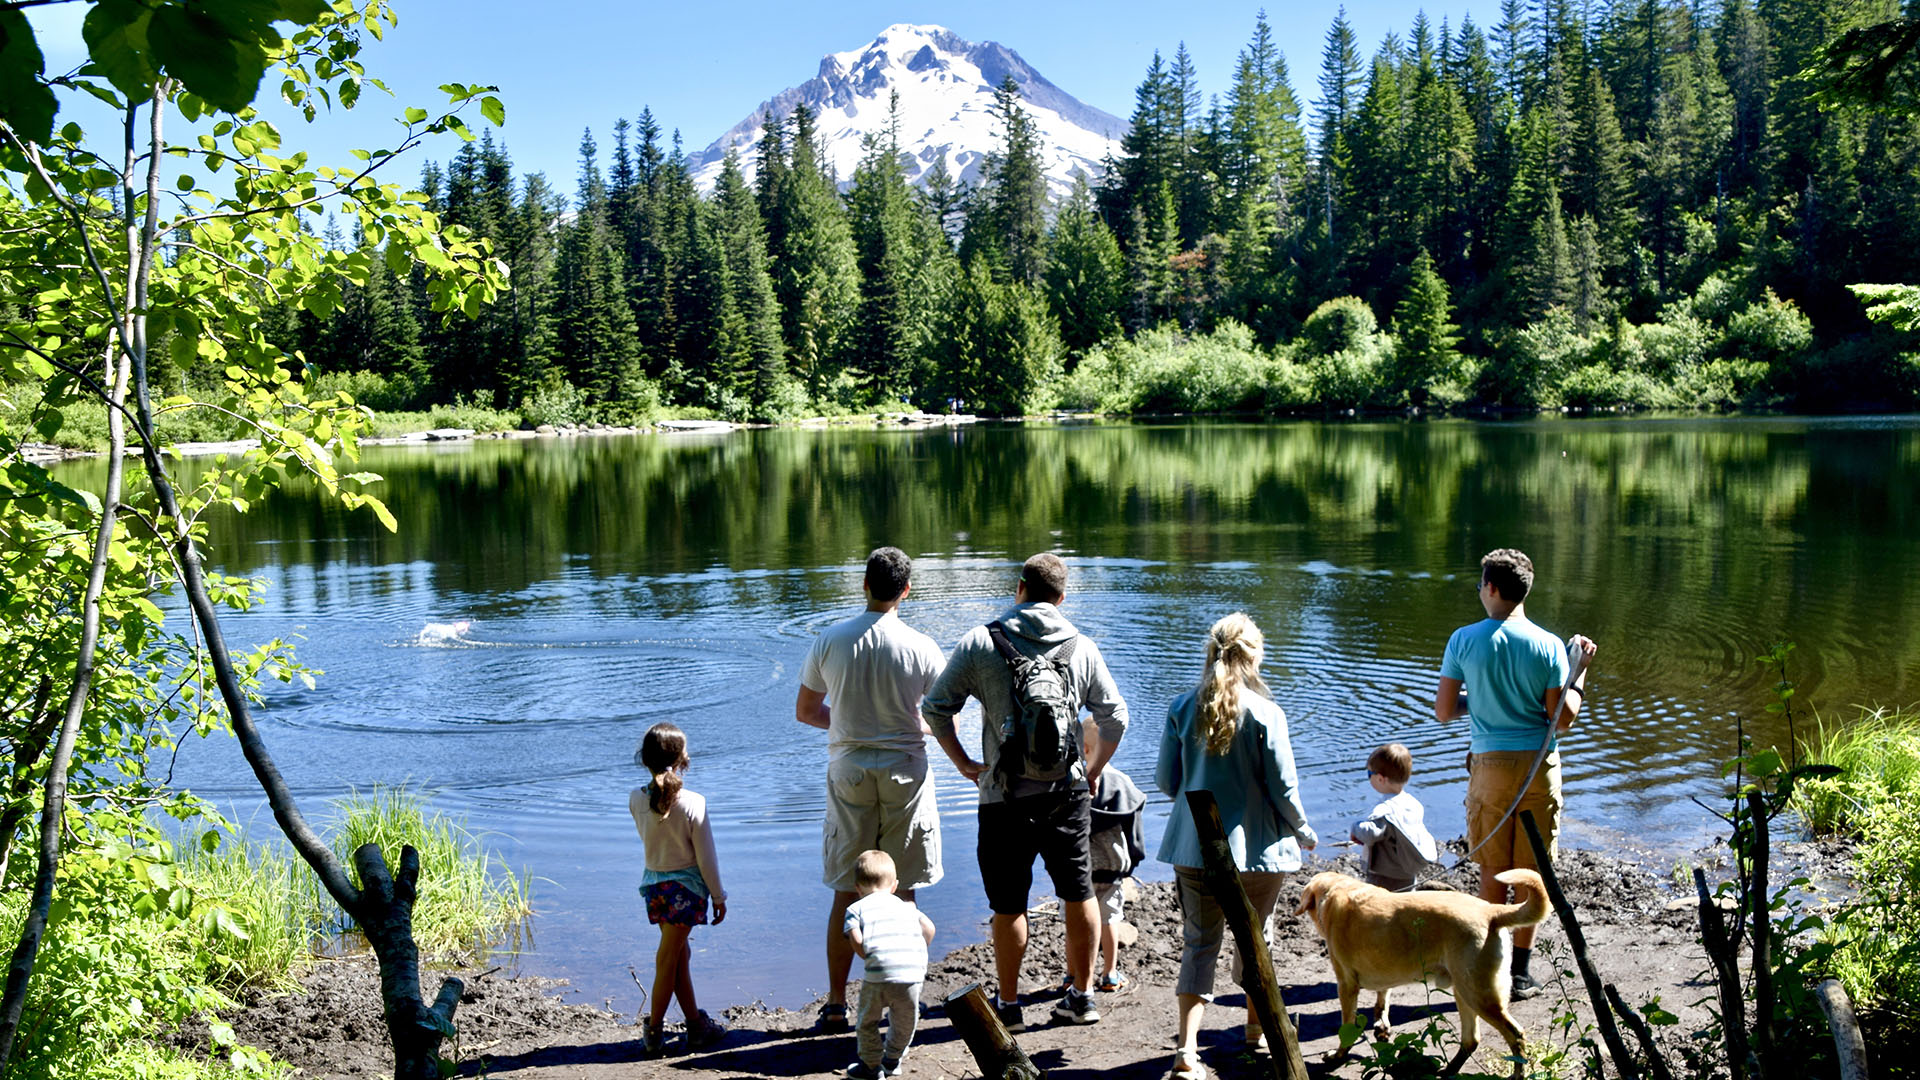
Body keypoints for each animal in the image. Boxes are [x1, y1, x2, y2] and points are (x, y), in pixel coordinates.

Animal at [1290, 868, 1543, 1068]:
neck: (1337, 890)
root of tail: (1491, 912)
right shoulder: (1385, 972)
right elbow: (1382, 1000)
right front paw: (1382, 1027)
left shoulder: (1346, 985)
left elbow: (1347, 1027)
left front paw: (1339, 1055)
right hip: (1464, 992)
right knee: (1471, 1039)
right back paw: (1447, 1071)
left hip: (1479, 996)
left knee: (1516, 1036)